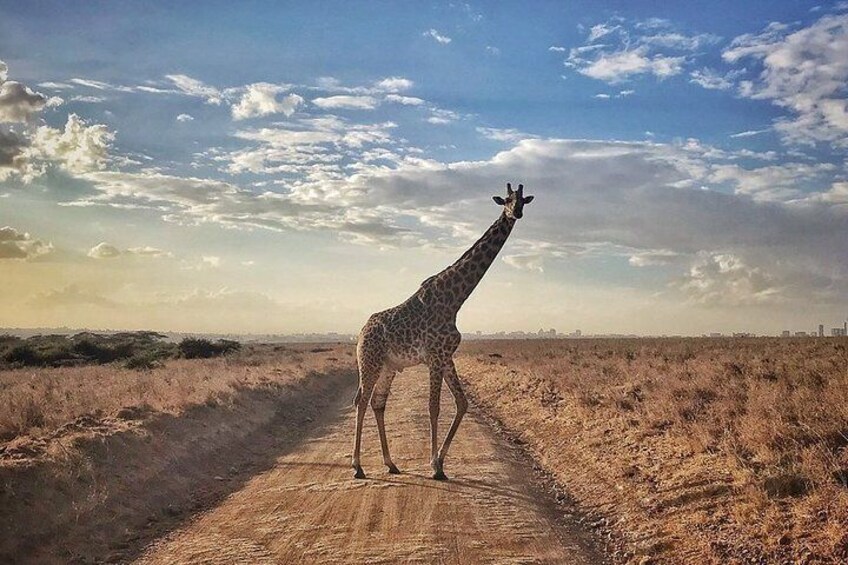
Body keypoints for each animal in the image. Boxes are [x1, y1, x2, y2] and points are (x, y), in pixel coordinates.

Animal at [351, 182, 534, 480]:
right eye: (506, 200)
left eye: (522, 201)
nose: (515, 213)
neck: (455, 299)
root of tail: (361, 332)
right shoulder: (435, 358)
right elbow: (433, 407)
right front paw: (434, 466)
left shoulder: (447, 357)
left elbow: (462, 403)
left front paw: (439, 463)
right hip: (369, 362)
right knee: (361, 401)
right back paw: (357, 466)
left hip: (389, 366)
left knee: (378, 403)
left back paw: (390, 463)